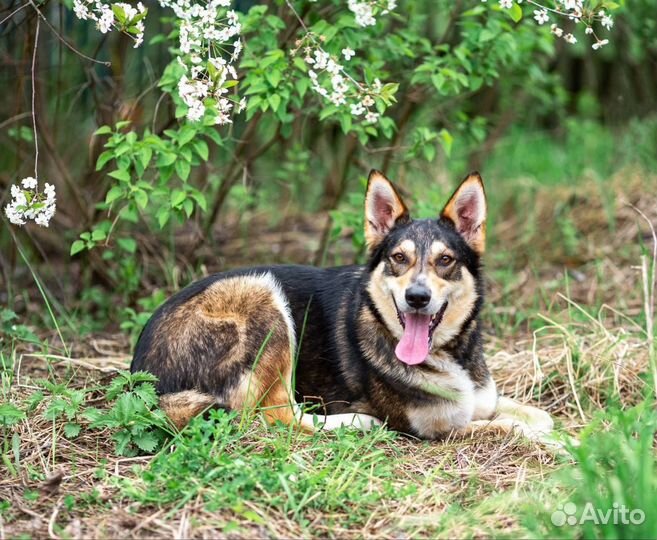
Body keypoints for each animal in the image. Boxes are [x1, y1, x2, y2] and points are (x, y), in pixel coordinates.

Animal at [131, 171, 552, 440]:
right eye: (398, 258)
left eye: (445, 260)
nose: (417, 297)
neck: (449, 355)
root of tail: (141, 374)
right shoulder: (433, 430)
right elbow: (509, 427)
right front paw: (555, 445)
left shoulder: (484, 401)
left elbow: (535, 415)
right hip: (261, 294)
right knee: (275, 414)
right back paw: (354, 422)